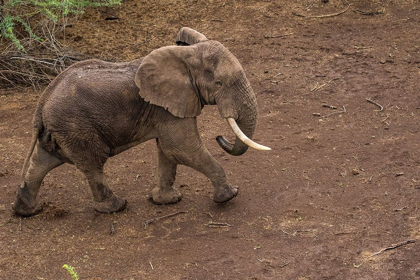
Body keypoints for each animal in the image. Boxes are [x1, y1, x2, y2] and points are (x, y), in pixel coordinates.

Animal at [13, 26, 270, 217]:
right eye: (219, 83)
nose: (220, 137)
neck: (187, 56)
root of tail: (42, 104)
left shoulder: (164, 109)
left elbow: (167, 151)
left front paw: (167, 201)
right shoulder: (166, 108)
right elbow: (182, 149)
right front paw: (229, 195)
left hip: (61, 129)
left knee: (42, 162)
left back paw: (27, 211)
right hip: (76, 127)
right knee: (92, 163)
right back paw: (116, 207)